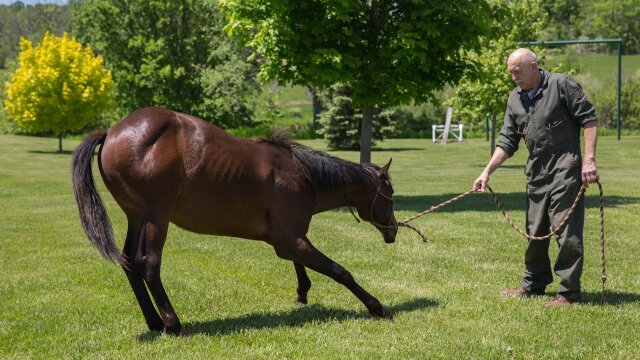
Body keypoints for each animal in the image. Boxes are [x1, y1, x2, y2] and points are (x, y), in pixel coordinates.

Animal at [72, 105, 398, 336]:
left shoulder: (289, 237)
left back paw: (154, 321)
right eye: (390, 194)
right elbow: (340, 271)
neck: (303, 175)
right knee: (148, 265)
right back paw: (173, 324)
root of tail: (112, 131)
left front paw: (302, 293)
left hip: (137, 217)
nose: (394, 230)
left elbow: (302, 265)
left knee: (129, 263)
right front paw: (376, 307)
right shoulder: (290, 240)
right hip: (155, 217)